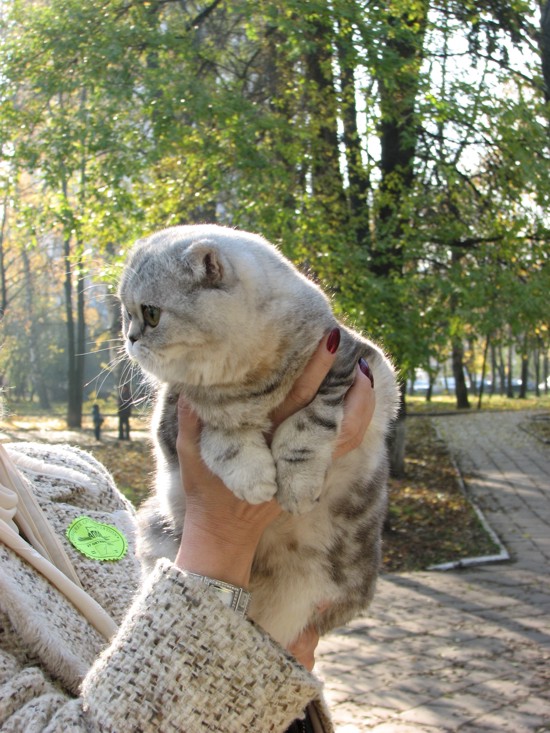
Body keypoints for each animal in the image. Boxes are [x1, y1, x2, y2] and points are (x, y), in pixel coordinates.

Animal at [118, 224, 398, 648]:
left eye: (150, 313)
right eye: (125, 313)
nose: (130, 338)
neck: (248, 382)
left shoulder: (357, 363)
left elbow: (308, 422)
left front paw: (296, 485)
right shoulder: (175, 413)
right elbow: (221, 435)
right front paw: (254, 478)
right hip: (155, 527)